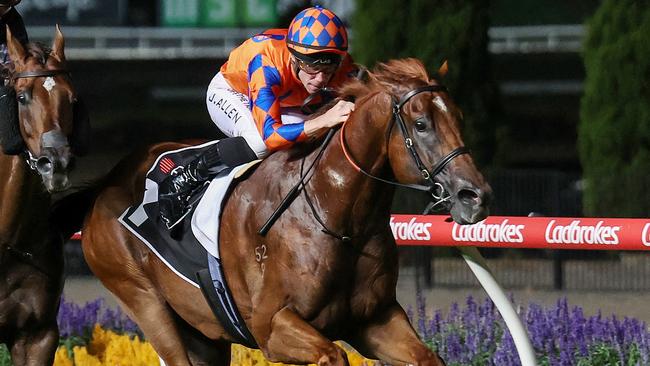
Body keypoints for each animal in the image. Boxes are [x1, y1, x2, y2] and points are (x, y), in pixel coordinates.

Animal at [73, 58, 488, 364]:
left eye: (459, 118)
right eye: (421, 124)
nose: (475, 196)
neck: (338, 216)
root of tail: (110, 179)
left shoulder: (376, 318)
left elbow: (427, 356)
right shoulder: (272, 325)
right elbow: (333, 354)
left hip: (204, 333)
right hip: (147, 303)